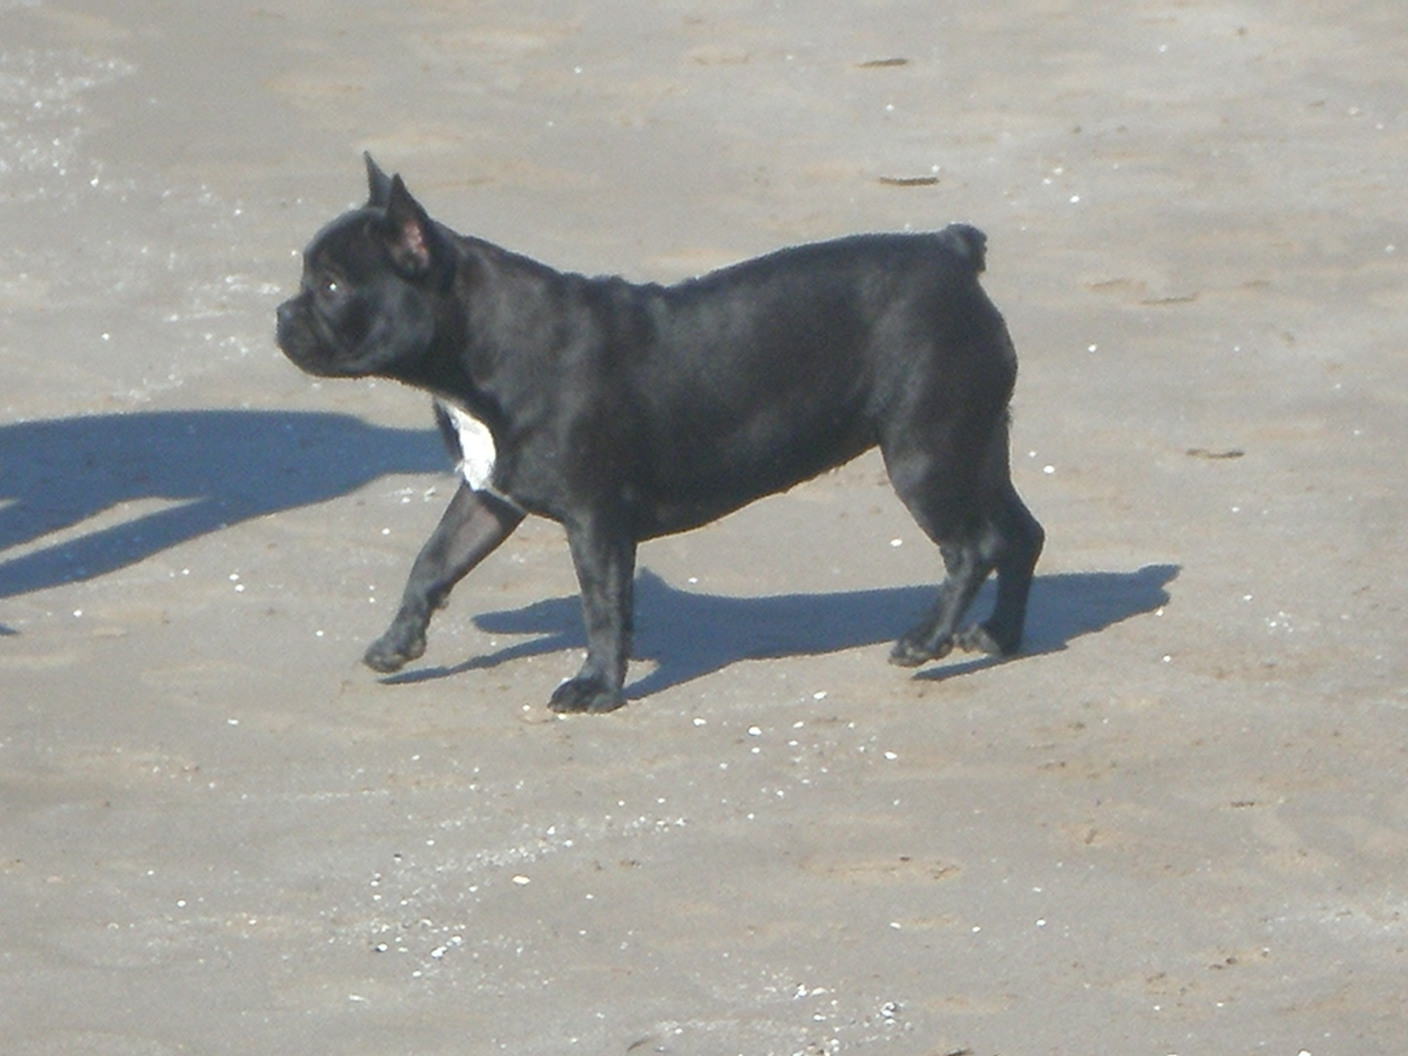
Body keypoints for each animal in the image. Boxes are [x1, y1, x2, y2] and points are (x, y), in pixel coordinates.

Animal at [277, 156, 1047, 715]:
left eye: (334, 286)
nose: (282, 313)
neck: (475, 344)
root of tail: (951, 253)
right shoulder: (487, 496)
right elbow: (433, 561)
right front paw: (397, 641)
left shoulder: (594, 521)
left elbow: (602, 606)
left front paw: (597, 687)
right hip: (974, 447)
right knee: (1019, 533)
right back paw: (1000, 635)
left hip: (924, 456)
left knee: (970, 547)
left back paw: (926, 641)